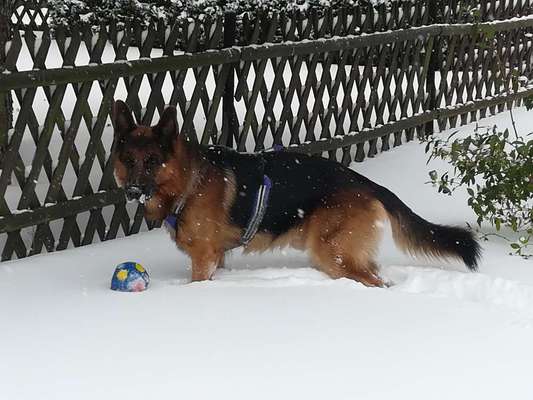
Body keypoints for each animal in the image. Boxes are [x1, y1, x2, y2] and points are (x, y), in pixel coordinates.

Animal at [111, 101, 478, 288]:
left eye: (152, 161)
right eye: (128, 160)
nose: (133, 190)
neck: (189, 182)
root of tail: (369, 184)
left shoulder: (203, 258)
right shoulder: (217, 258)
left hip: (332, 254)